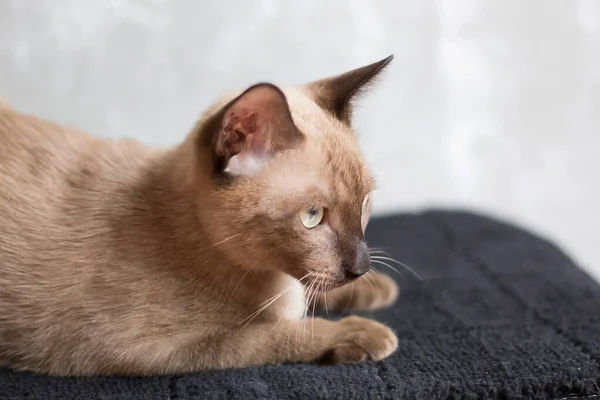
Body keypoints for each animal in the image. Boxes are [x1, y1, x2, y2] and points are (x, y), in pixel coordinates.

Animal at [1, 55, 404, 376]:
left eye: (364, 204)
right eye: (312, 216)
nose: (362, 267)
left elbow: (309, 296)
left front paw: (375, 288)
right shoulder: (155, 349)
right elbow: (278, 333)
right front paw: (363, 332)